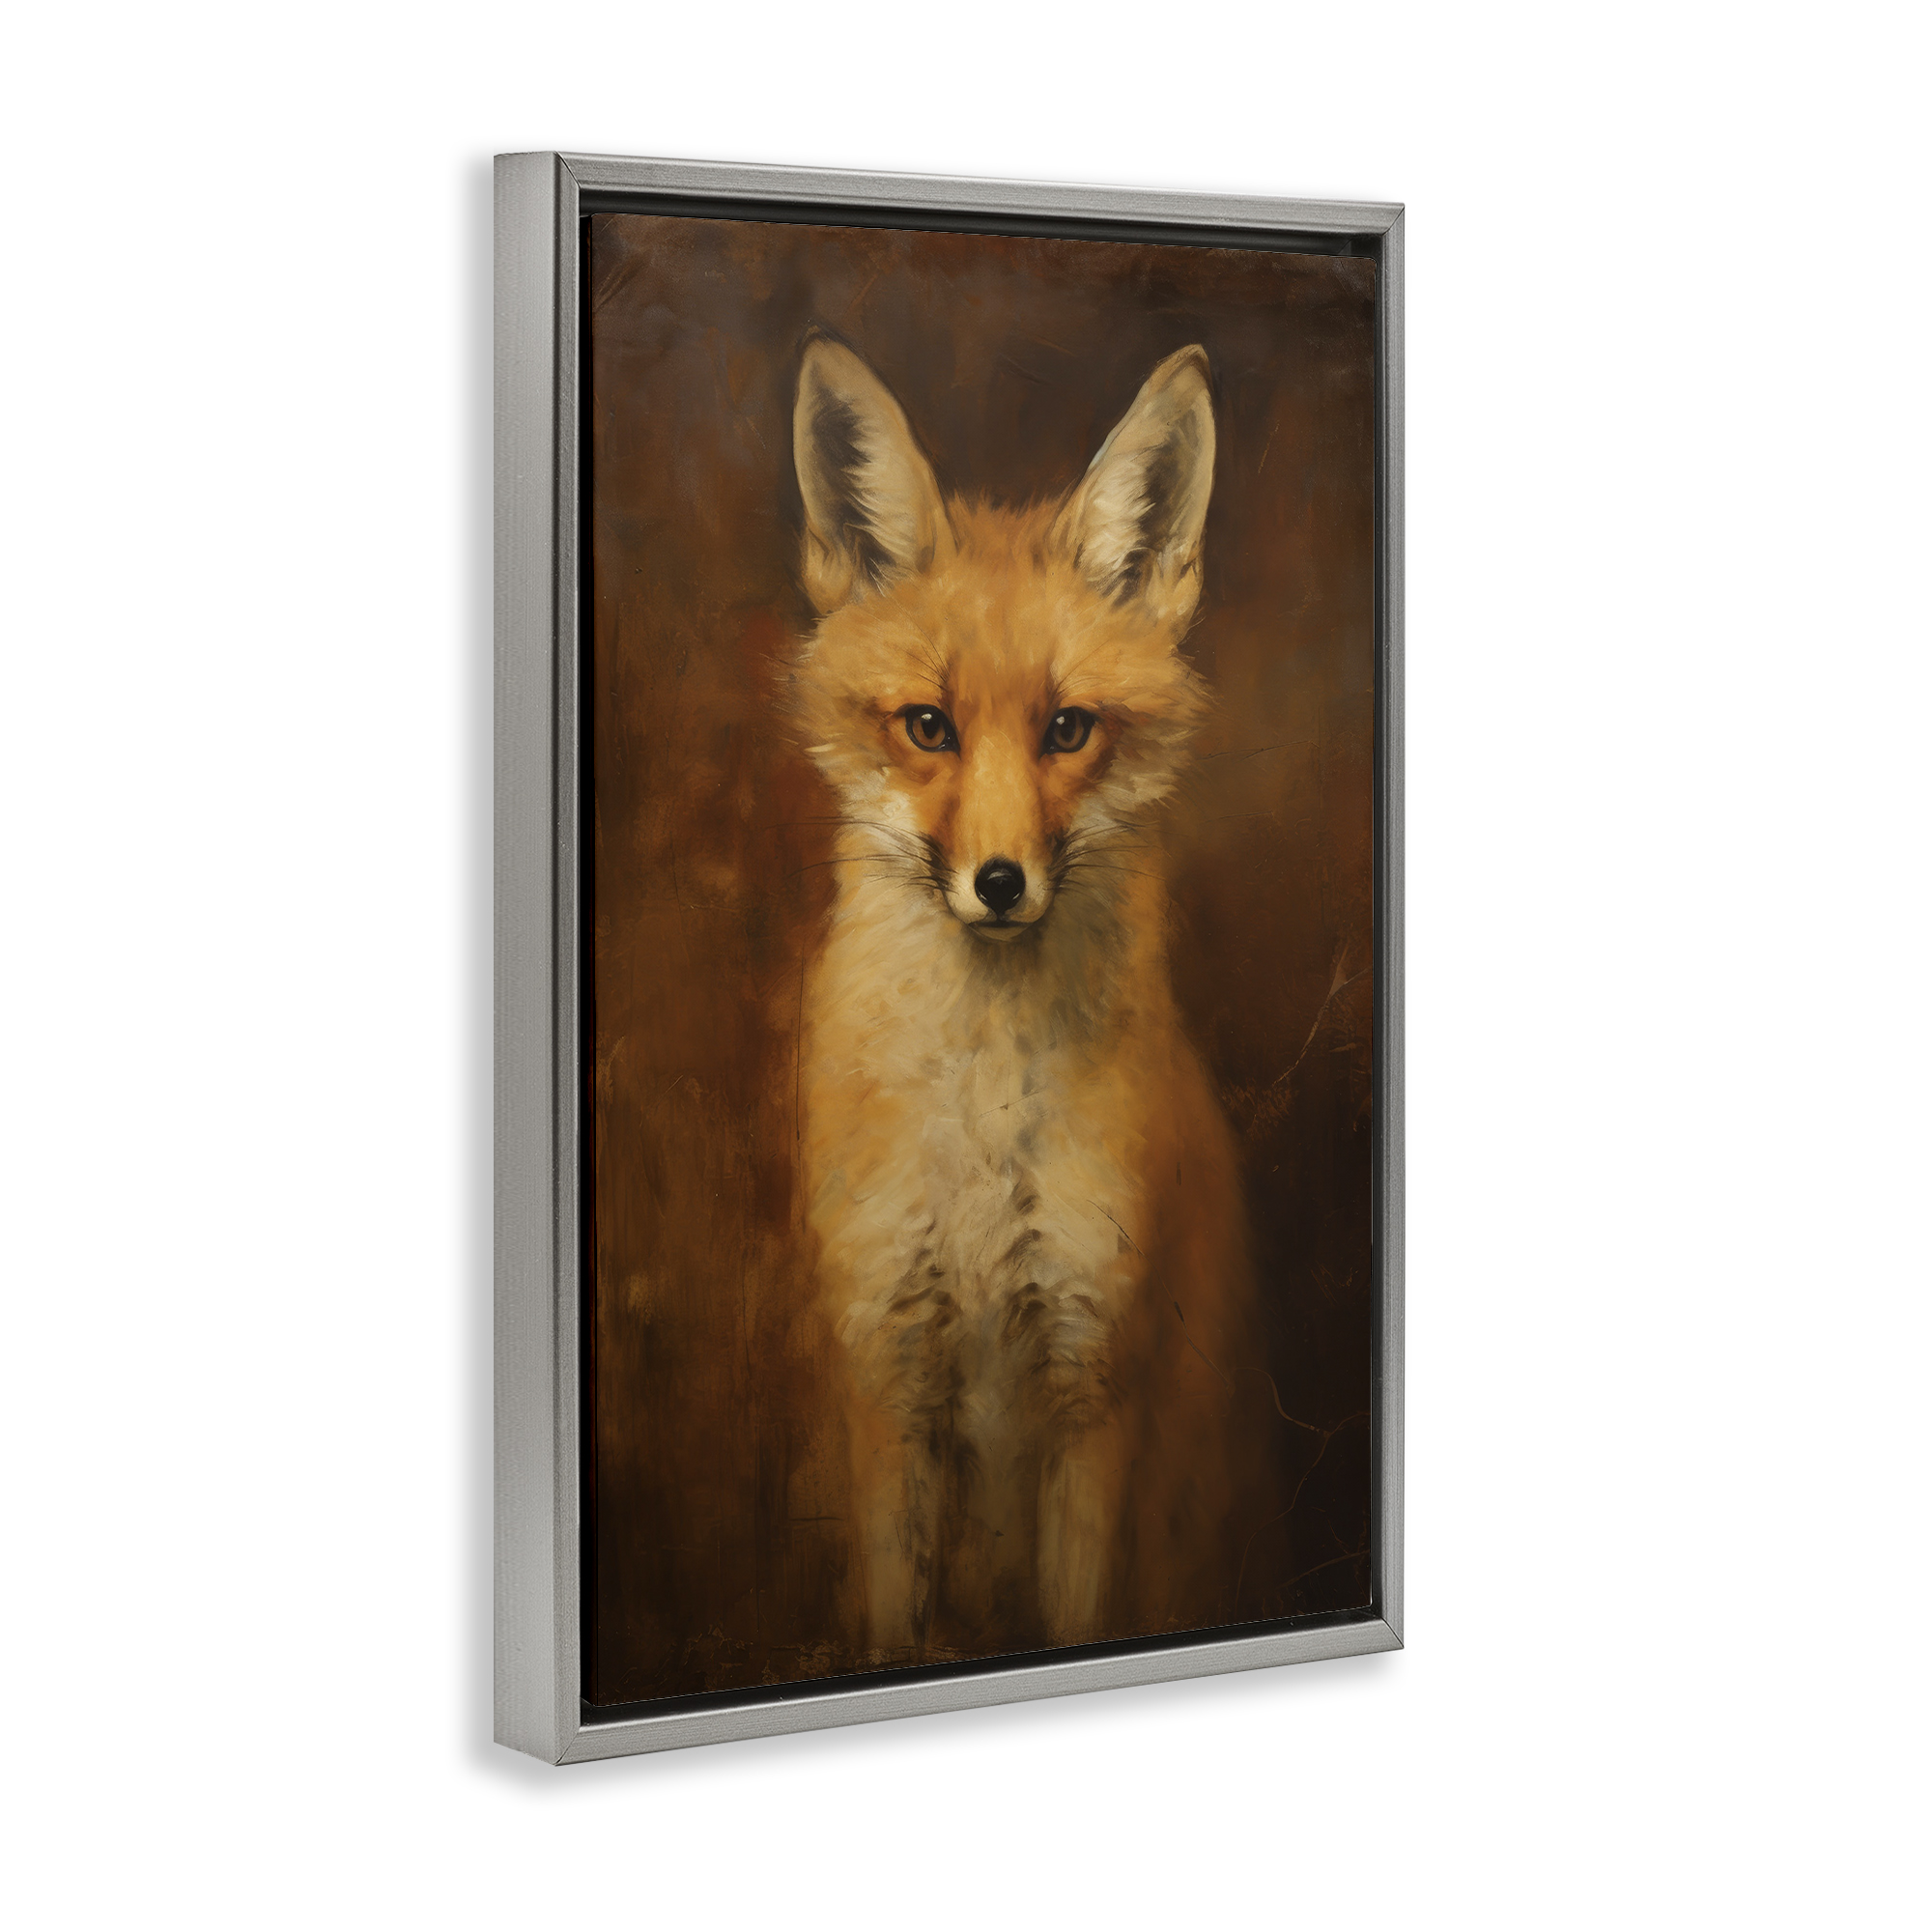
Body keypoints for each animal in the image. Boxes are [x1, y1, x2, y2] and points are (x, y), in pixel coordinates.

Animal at [788, 334, 1255, 1662]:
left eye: (1067, 728)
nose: (998, 882)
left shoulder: (1095, 1386)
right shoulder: (888, 1373)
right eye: (927, 726)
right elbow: (892, 1633)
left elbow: (1077, 1611)